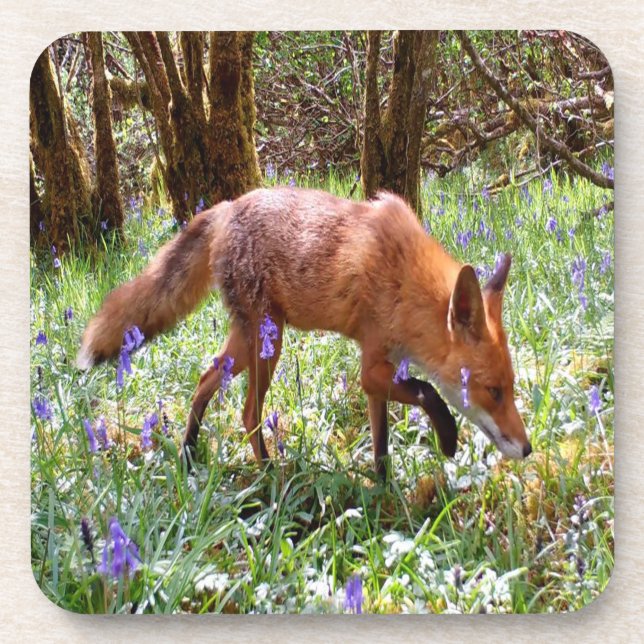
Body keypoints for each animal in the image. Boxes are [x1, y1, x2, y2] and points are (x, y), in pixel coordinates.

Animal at [77, 187, 531, 477]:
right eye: (493, 391)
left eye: (511, 387)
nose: (527, 449)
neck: (404, 279)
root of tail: (227, 206)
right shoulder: (373, 366)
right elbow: (429, 391)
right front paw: (449, 439)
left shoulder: (380, 373)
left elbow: (381, 446)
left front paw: (384, 494)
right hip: (267, 343)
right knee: (248, 412)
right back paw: (268, 475)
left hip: (249, 340)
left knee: (206, 379)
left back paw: (189, 455)